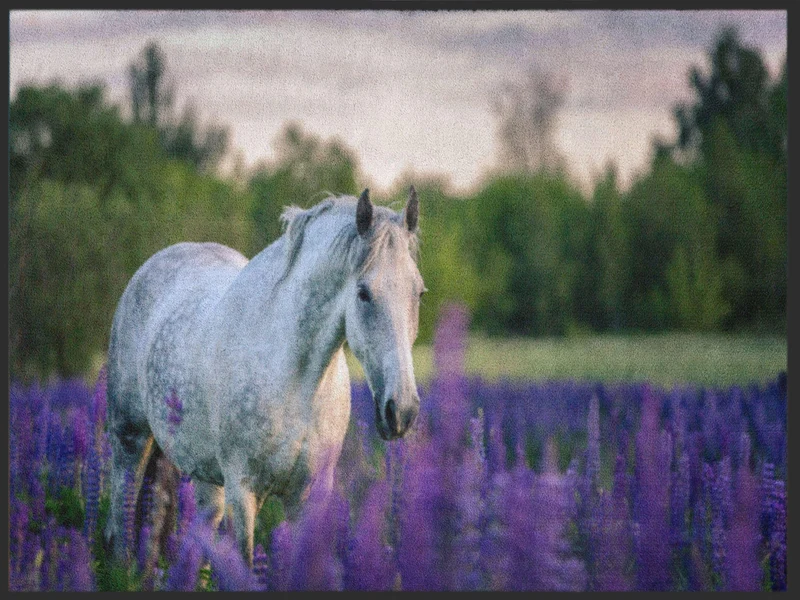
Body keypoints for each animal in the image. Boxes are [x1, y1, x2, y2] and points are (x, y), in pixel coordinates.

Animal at [104, 187, 425, 566]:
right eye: (363, 293)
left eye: (419, 292)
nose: (402, 410)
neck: (297, 383)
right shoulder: (243, 492)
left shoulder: (309, 496)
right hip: (131, 440)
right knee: (122, 511)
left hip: (204, 473)